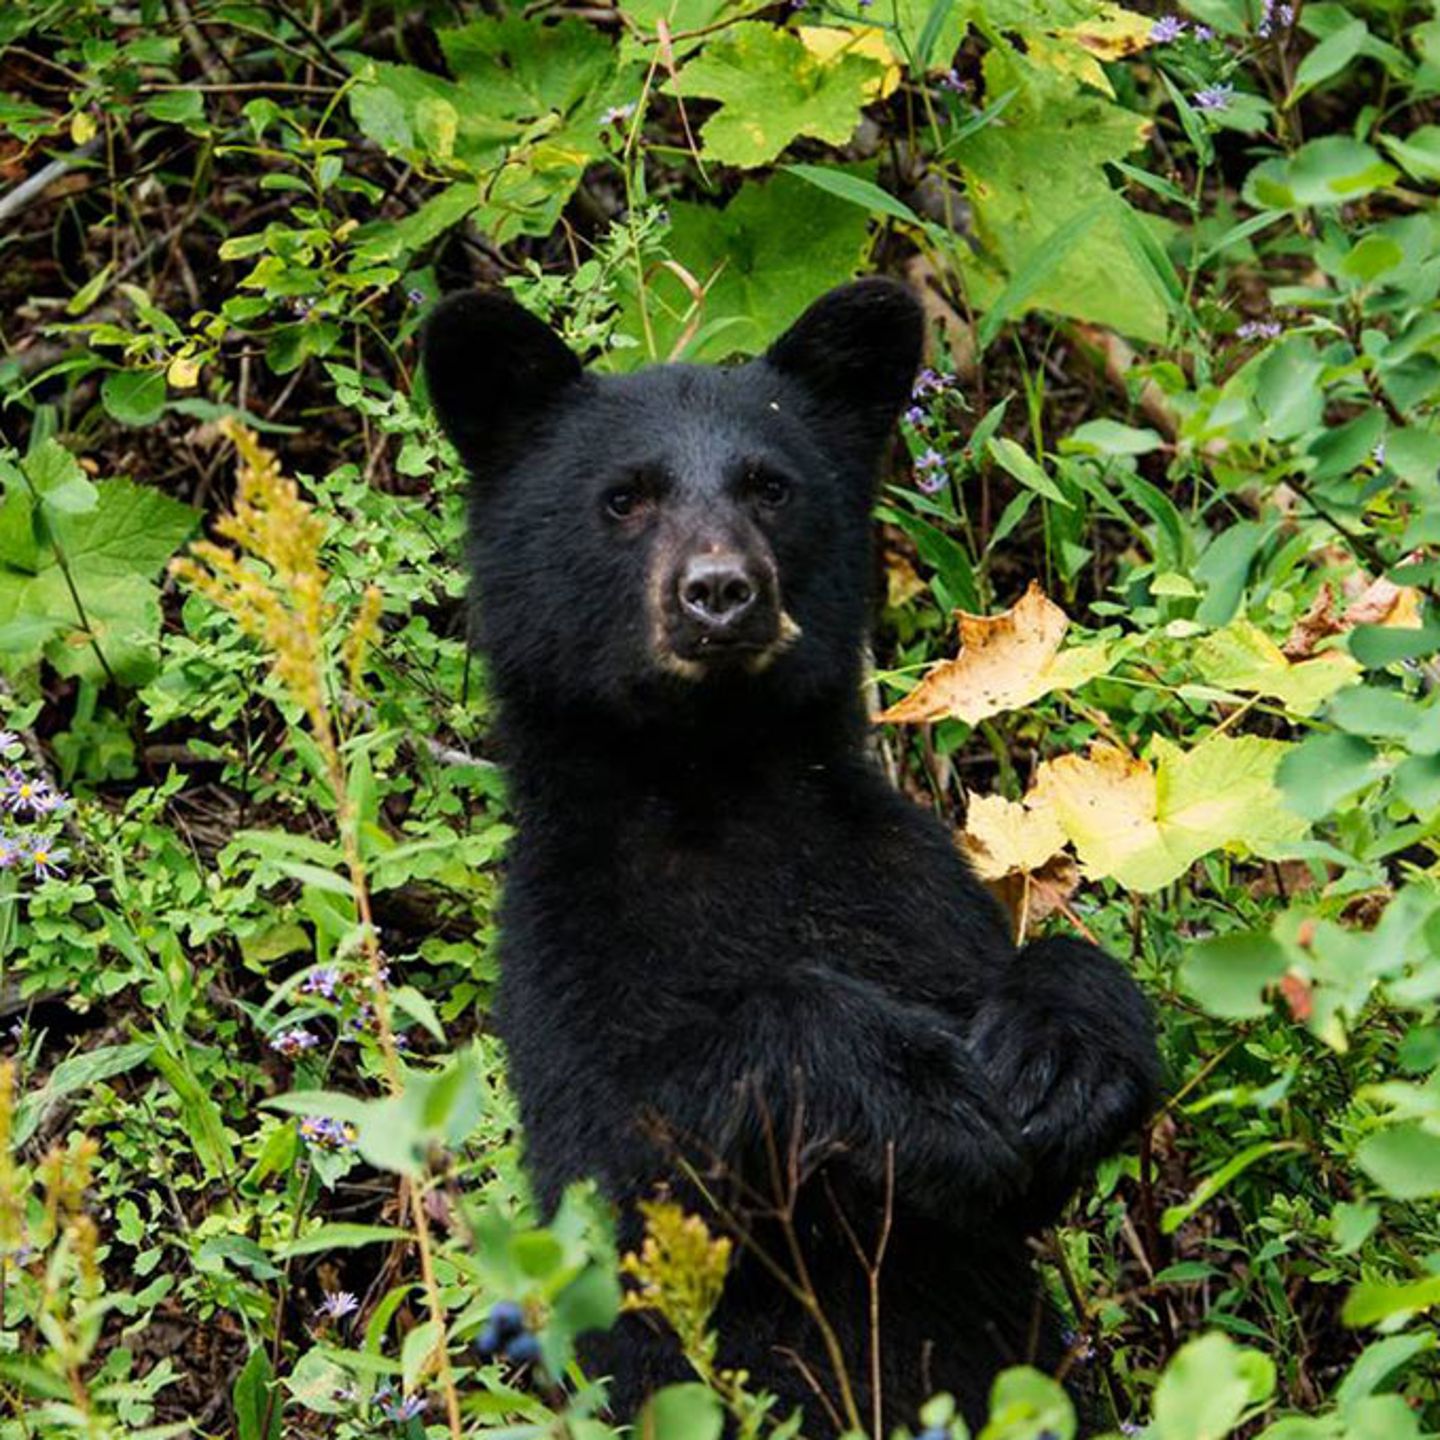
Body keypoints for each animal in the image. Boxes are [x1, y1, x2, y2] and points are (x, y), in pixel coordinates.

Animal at [421, 278, 1161, 1435]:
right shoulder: (568, 943)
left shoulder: (904, 882)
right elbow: (637, 1138)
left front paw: (1059, 1056)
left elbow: (1028, 1110)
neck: (718, 786)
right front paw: (916, 1093)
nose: (720, 591)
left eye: (770, 486)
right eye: (623, 498)